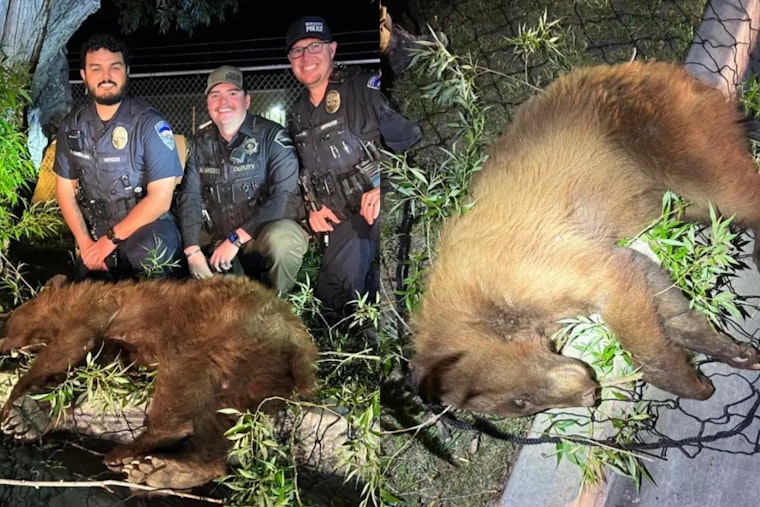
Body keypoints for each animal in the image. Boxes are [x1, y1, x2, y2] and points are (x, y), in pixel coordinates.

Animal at [0, 274, 318, 489]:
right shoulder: (116, 345)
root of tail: (301, 352)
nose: (2, 329)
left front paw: (11, 409)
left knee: (180, 388)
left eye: (10, 316)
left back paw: (128, 455)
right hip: (251, 381)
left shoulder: (94, 311)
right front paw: (28, 416)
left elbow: (71, 345)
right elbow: (95, 367)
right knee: (217, 426)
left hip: (221, 334)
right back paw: (168, 470)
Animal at [410, 60, 760, 419]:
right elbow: (650, 283)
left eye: (521, 401)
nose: (590, 394)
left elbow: (617, 293)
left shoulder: (522, 263)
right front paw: (731, 350)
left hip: (663, 137)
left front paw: (690, 382)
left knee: (729, 191)